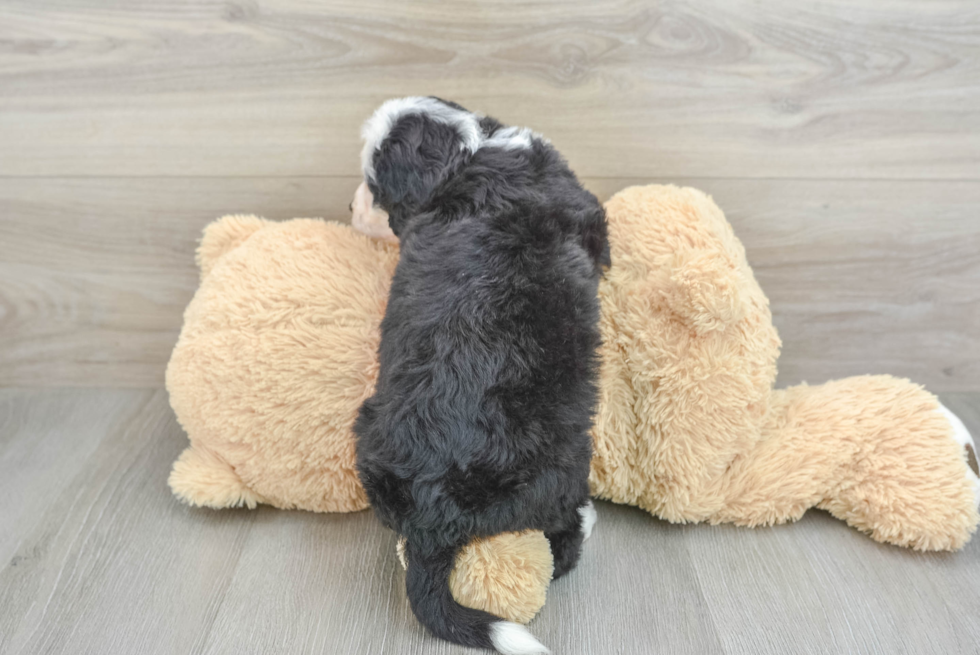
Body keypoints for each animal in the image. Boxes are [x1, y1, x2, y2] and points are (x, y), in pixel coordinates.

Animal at [352, 98, 608, 655]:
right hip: (564, 465)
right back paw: (585, 522)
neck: (467, 151)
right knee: (560, 549)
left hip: (367, 433)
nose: (351, 208)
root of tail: (430, 524)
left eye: (373, 182)